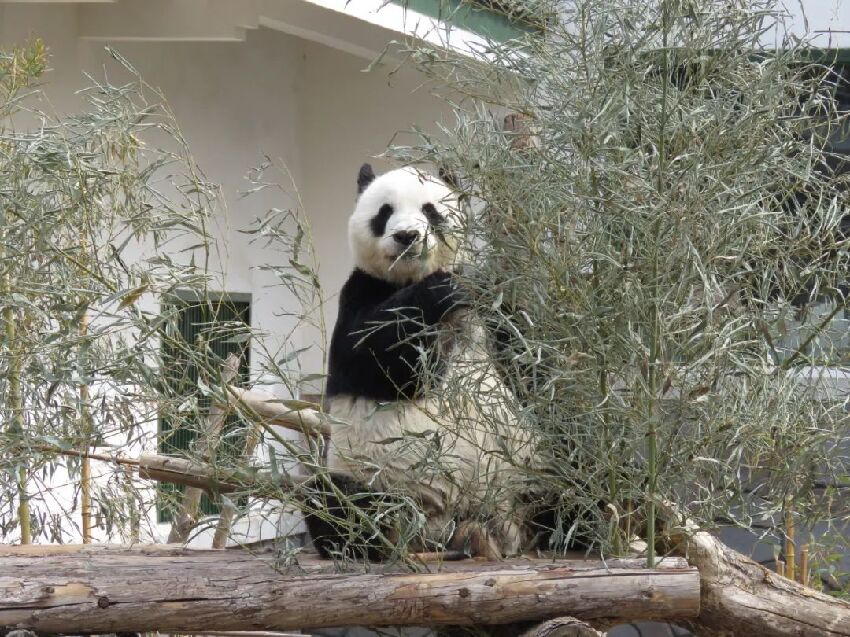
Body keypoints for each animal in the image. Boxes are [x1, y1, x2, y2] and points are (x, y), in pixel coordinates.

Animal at [304, 164, 528, 560]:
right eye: (384, 213)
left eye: (430, 210)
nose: (407, 236)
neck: (411, 275)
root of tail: (442, 531)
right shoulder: (363, 290)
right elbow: (369, 355)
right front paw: (439, 290)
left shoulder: (492, 306)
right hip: (374, 483)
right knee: (331, 499)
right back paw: (368, 545)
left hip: (520, 475)